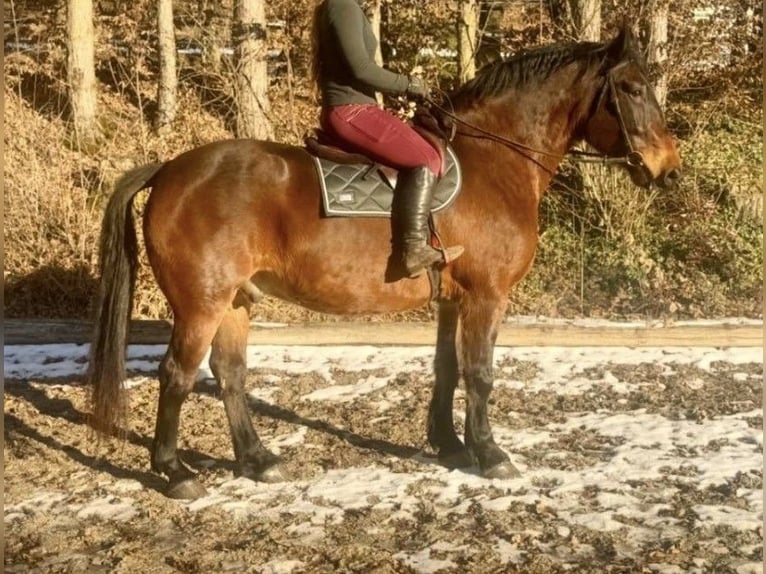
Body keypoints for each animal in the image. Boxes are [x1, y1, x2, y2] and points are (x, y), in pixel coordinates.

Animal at [88, 24, 681, 499]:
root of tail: (169, 170)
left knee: (230, 374)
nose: (667, 167)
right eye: (631, 88)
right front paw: (489, 454)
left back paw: (258, 461)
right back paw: (175, 472)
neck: (495, 158)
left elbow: (446, 368)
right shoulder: (487, 295)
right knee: (177, 376)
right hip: (201, 304)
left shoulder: (453, 299)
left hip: (235, 301)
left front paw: (449, 445)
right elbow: (480, 373)